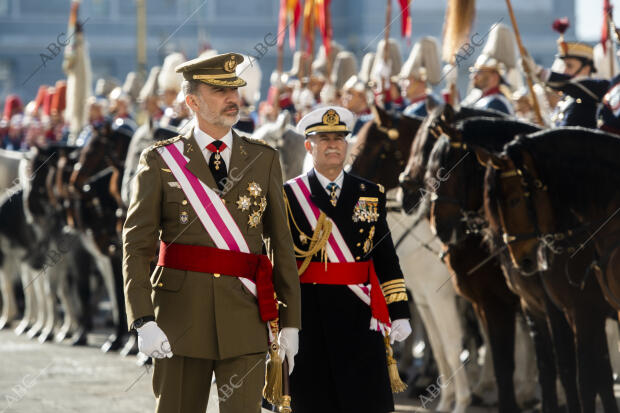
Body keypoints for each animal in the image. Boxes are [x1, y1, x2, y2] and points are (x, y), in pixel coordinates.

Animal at [480, 128, 620, 412]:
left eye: (514, 200)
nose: (522, 261)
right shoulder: (555, 311)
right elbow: (587, 374)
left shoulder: (581, 311)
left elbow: (583, 378)